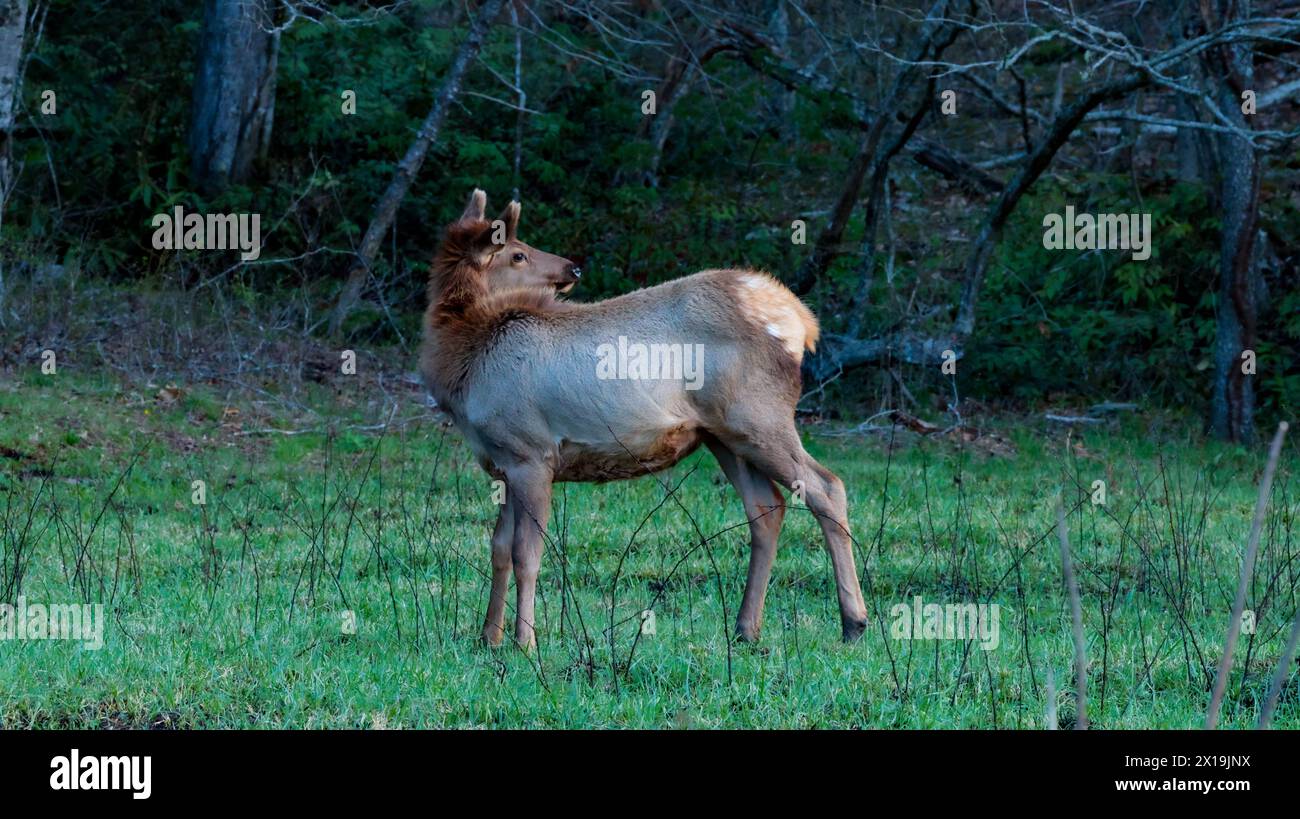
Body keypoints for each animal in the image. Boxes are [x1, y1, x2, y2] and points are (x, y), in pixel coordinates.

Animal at [426, 191, 868, 647]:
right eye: (518, 253)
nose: (573, 267)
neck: (463, 365)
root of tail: (802, 322)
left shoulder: (531, 453)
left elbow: (526, 554)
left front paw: (525, 643)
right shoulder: (503, 463)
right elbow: (498, 548)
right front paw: (488, 637)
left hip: (760, 417)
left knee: (826, 487)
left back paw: (853, 622)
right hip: (724, 436)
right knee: (767, 507)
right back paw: (747, 628)